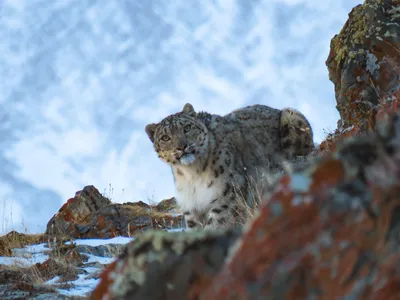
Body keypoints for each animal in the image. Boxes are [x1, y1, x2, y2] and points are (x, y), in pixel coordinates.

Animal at [144, 102, 312, 230]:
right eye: (165, 137)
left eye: (186, 128)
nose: (181, 147)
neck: (191, 174)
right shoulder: (190, 207)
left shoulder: (227, 193)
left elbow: (215, 223)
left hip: (291, 117)